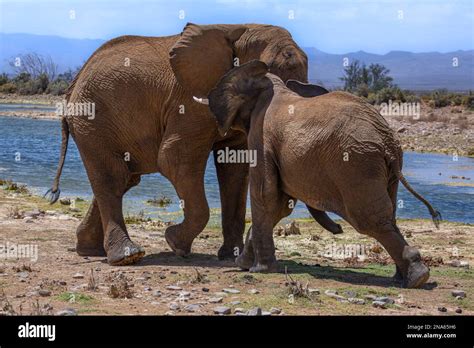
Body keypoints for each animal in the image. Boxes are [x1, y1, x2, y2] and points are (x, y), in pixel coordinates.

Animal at [46, 22, 352, 266]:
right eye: (271, 73)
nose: (339, 229)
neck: (240, 30)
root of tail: (72, 85)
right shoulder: (189, 100)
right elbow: (174, 158)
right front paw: (175, 242)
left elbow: (234, 166)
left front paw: (229, 256)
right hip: (92, 117)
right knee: (112, 177)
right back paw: (127, 256)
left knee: (125, 178)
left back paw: (89, 250)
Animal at [199, 59, 440, 288]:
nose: (338, 229)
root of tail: (387, 141)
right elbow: (280, 206)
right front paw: (243, 264)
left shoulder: (261, 138)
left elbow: (265, 195)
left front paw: (258, 269)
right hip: (381, 167)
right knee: (389, 215)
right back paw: (406, 278)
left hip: (357, 164)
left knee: (370, 219)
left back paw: (416, 278)